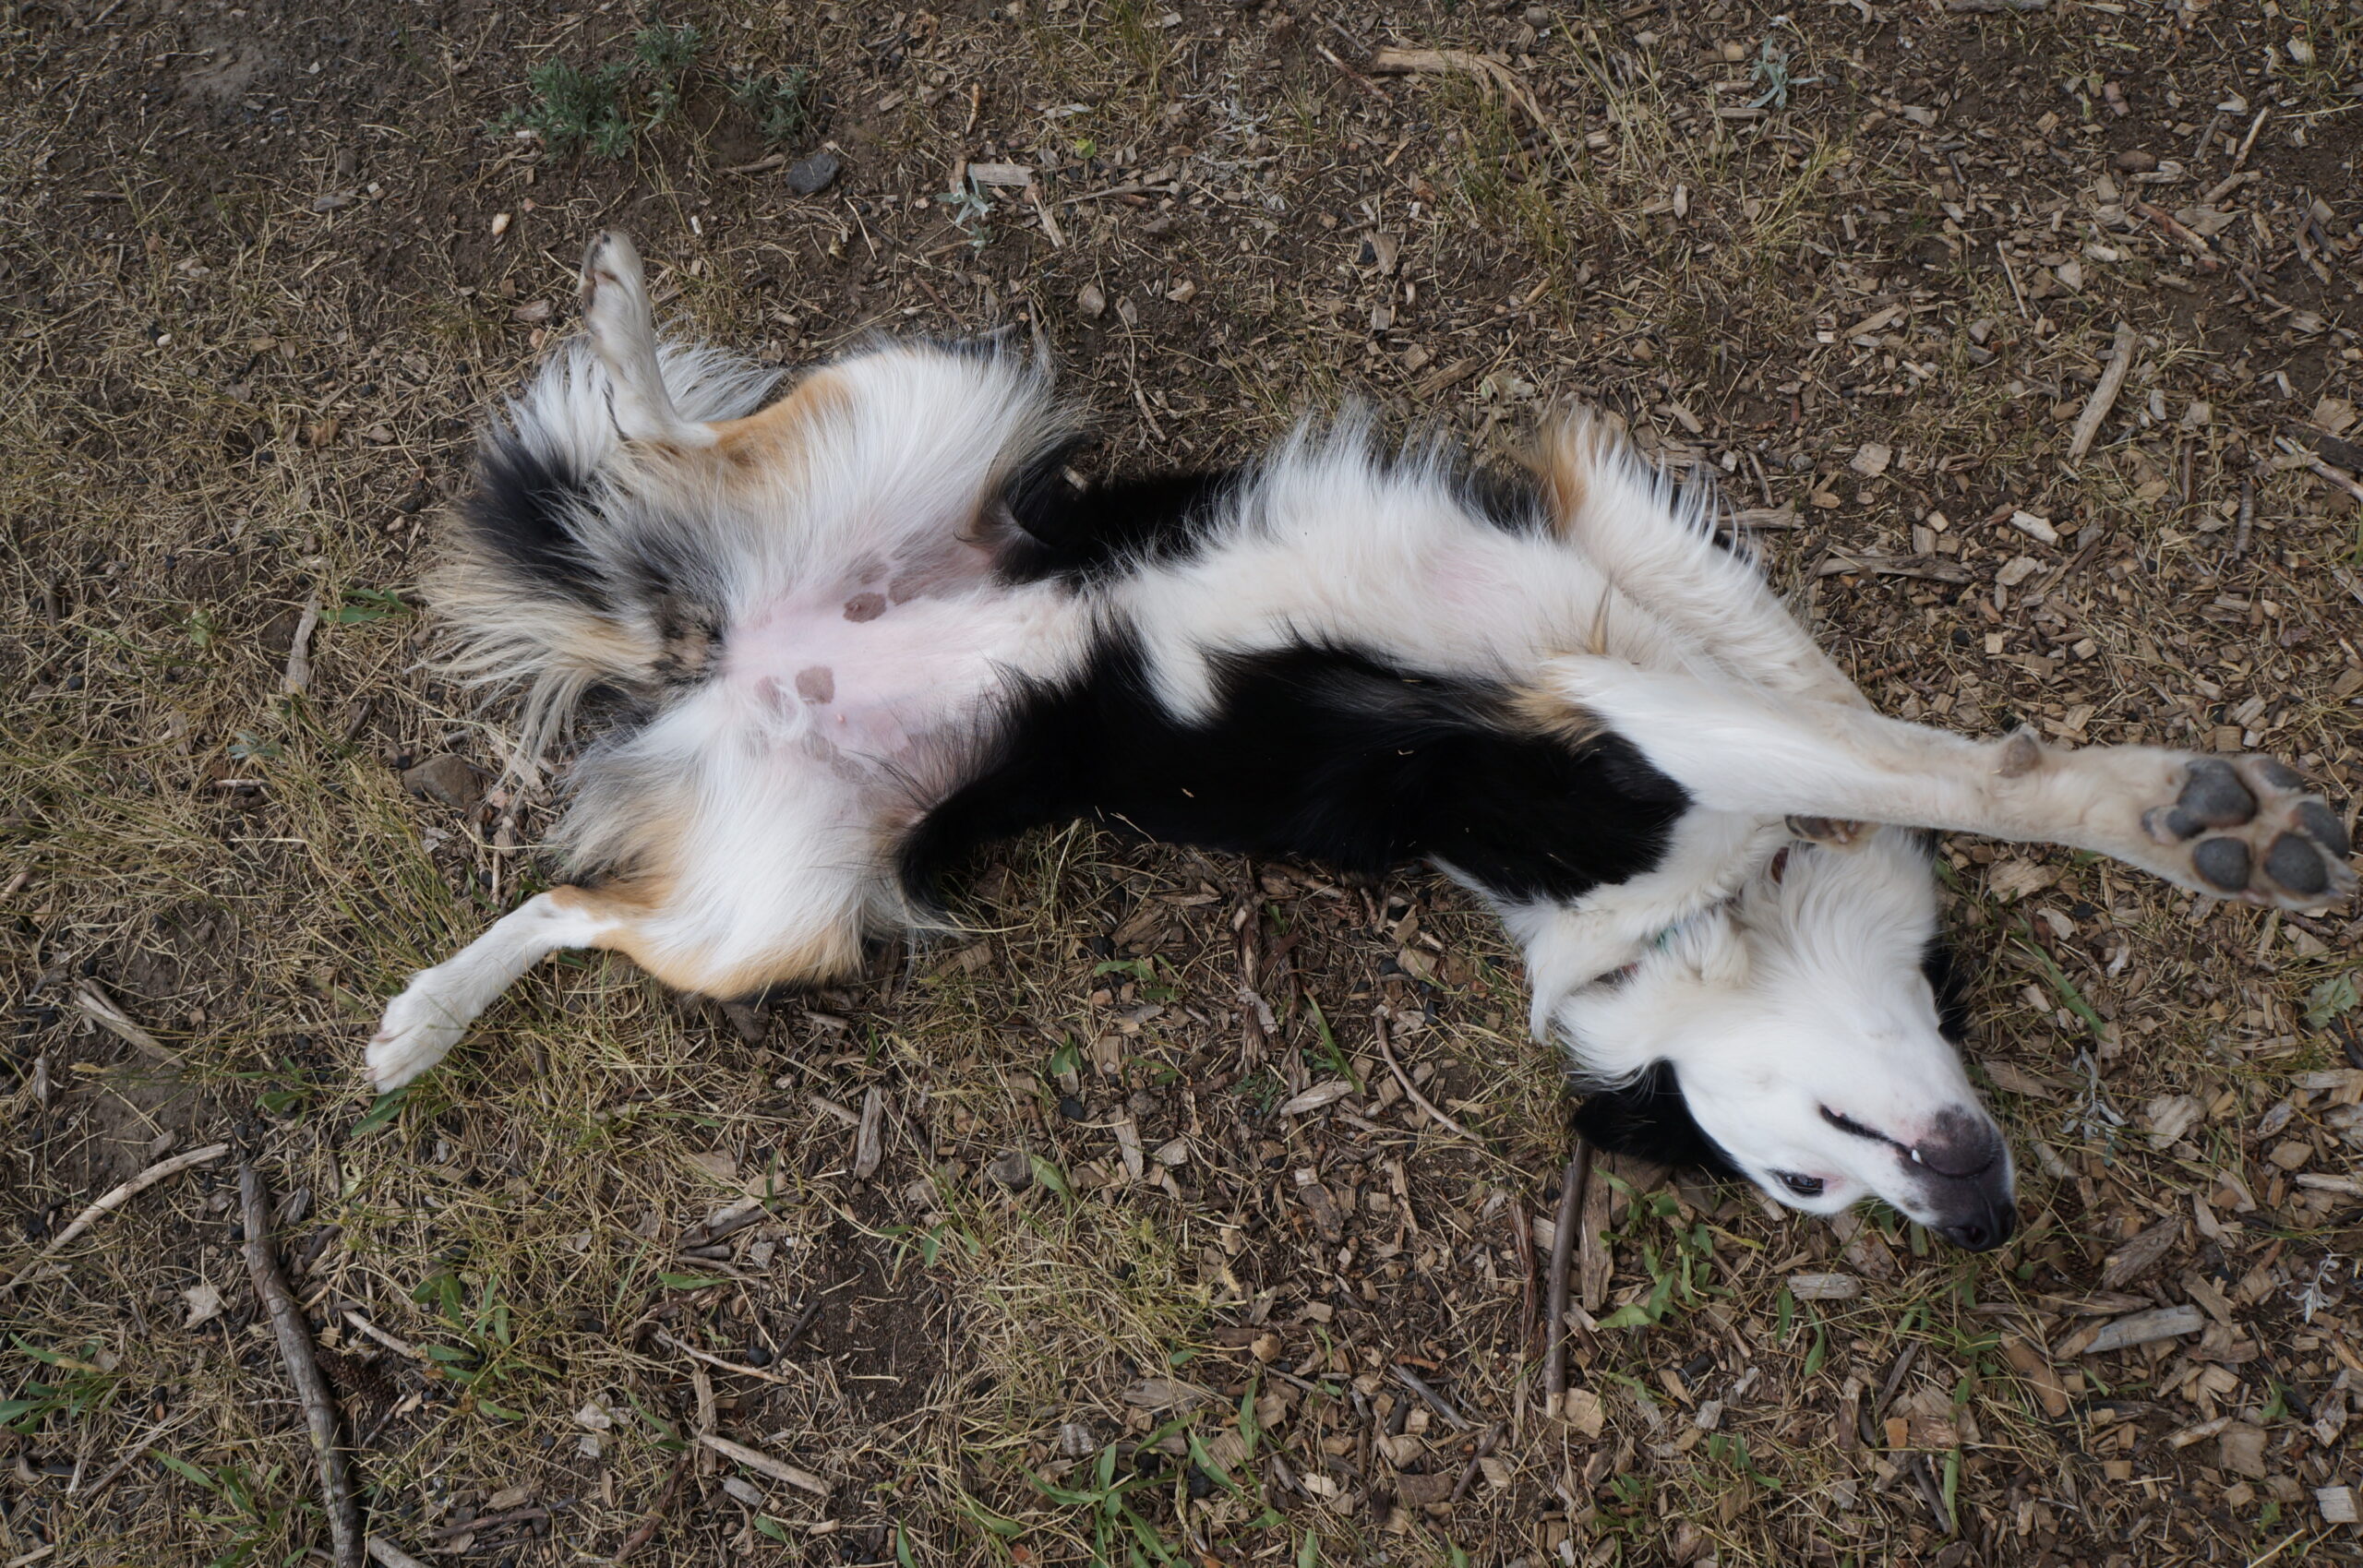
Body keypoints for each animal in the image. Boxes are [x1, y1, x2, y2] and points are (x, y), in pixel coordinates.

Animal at [368, 238, 2344, 1256]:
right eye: (1801, 1181)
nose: (1980, 1218)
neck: (1679, 911)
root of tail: (718, 661)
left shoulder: (1628, 563)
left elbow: (1847, 710)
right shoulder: (1616, 709)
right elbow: (1910, 757)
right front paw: (2193, 818)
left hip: (790, 884)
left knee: (582, 882)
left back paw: (418, 1016)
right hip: (816, 795)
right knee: (654, 475)